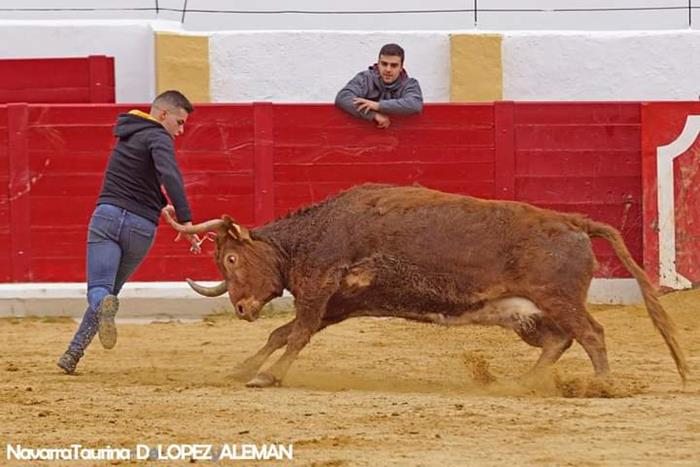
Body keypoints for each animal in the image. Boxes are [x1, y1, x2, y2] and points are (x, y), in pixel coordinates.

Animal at [161, 183, 688, 388]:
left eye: (231, 258)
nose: (242, 308)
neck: (311, 233)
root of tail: (573, 222)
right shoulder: (337, 304)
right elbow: (282, 334)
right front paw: (242, 368)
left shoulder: (318, 289)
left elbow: (297, 334)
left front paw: (267, 376)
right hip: (531, 313)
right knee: (559, 341)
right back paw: (524, 382)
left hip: (558, 299)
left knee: (591, 334)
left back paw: (602, 385)